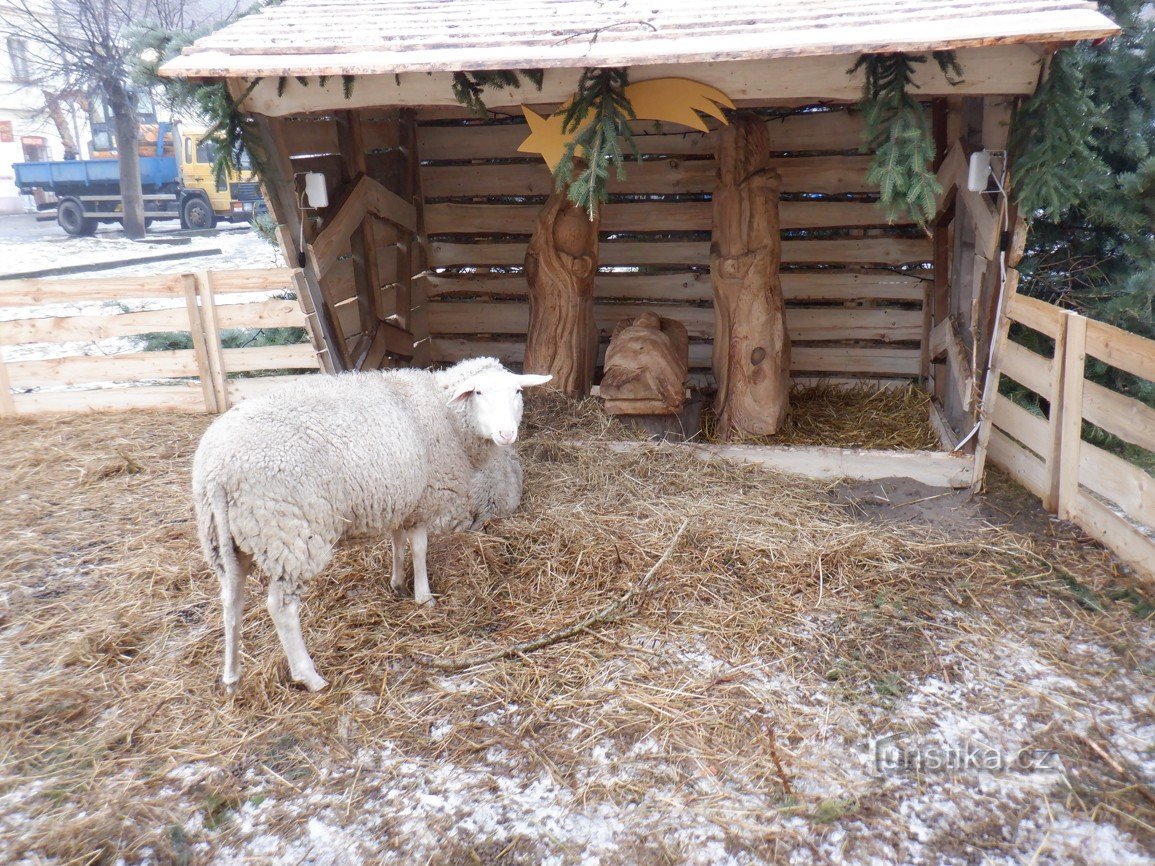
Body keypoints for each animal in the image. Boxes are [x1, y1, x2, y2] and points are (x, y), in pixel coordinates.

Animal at [190, 355, 549, 697]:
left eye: (518, 391)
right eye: (477, 393)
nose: (506, 434)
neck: (447, 415)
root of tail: (216, 472)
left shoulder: (402, 498)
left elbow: (397, 541)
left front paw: (397, 583)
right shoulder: (426, 495)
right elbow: (419, 549)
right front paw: (424, 597)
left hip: (227, 538)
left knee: (231, 600)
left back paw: (232, 677)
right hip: (288, 534)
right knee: (281, 607)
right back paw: (309, 676)